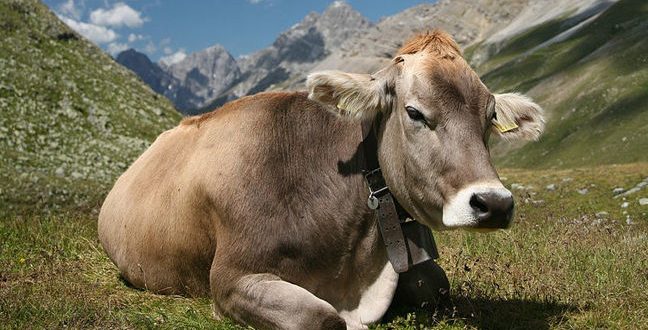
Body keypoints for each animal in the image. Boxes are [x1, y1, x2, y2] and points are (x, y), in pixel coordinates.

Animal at [98, 29, 544, 328]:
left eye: (489, 116)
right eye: (414, 112)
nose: (494, 203)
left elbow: (437, 285)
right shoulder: (231, 278)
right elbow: (323, 318)